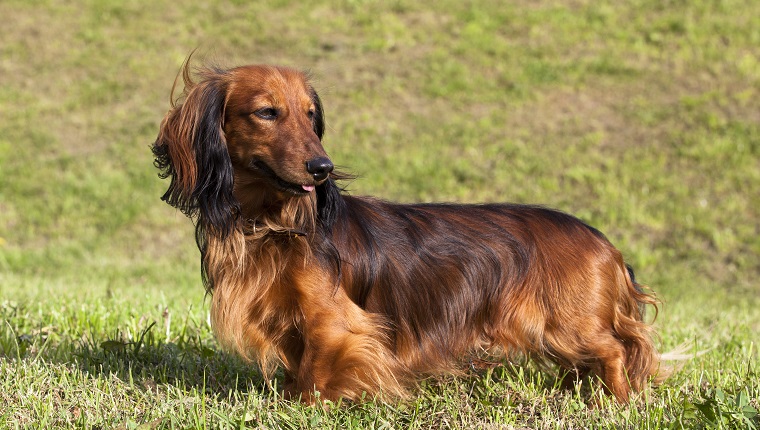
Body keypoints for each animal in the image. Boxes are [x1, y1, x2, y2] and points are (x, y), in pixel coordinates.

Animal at [154, 59, 664, 404]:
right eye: (266, 112)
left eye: (310, 115)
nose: (323, 167)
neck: (273, 224)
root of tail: (605, 242)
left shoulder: (334, 321)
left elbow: (318, 370)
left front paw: (306, 406)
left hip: (568, 324)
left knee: (615, 350)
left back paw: (617, 400)